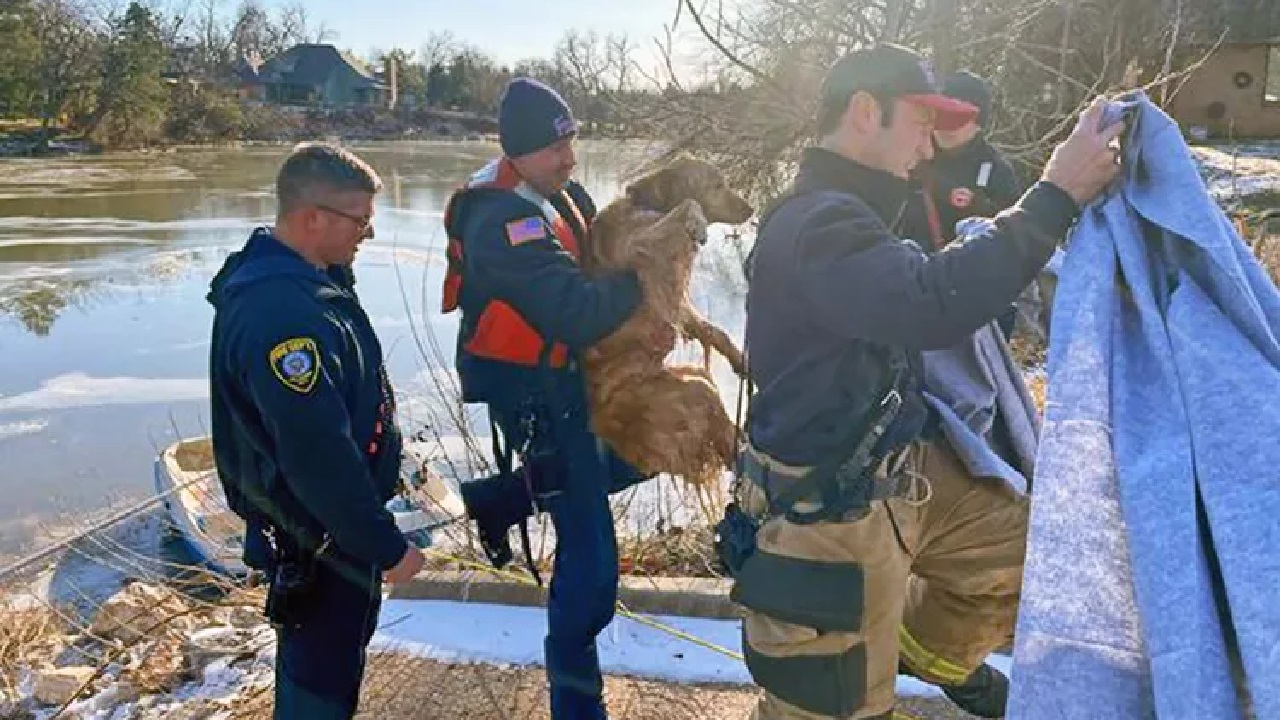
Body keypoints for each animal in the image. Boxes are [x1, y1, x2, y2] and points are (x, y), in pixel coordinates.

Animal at [578, 153, 747, 484]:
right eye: (717, 185)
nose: (750, 208)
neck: (648, 205)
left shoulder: (675, 295)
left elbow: (713, 331)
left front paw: (739, 359)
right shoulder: (644, 248)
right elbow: (689, 203)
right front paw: (697, 223)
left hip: (691, 377)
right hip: (692, 393)